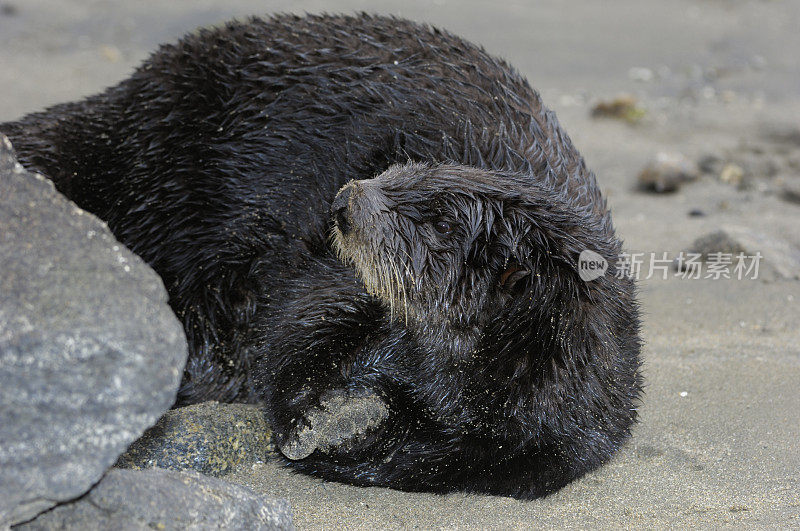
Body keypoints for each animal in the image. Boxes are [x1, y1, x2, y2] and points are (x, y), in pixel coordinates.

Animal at [0, 14, 636, 500]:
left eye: (437, 221)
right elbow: (299, 326)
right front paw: (312, 421)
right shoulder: (345, 290)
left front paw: (350, 428)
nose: (344, 200)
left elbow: (448, 462)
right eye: (398, 168)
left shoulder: (559, 436)